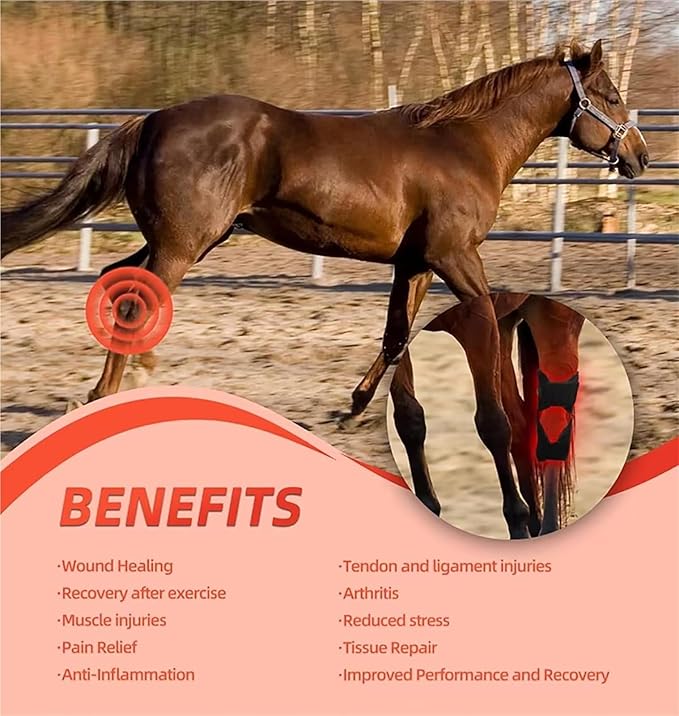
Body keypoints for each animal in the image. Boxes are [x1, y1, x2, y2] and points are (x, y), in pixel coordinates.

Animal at [1, 40, 647, 415]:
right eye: (612, 96)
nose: (639, 156)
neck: (463, 145)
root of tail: (152, 120)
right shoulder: (455, 256)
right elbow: (485, 320)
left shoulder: (415, 262)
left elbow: (396, 335)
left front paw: (357, 405)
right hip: (183, 245)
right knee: (136, 302)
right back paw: (106, 394)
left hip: (185, 241)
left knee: (120, 281)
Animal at [390, 293, 585, 539]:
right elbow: (409, 419)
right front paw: (428, 505)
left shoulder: (478, 321)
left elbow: (493, 425)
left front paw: (517, 525)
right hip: (503, 327)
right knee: (520, 425)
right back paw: (535, 524)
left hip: (552, 321)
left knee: (551, 421)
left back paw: (546, 527)